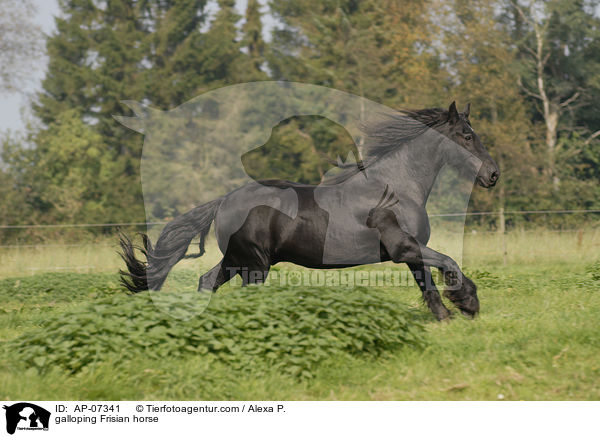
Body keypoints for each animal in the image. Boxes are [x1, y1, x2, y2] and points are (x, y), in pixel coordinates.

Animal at [119, 102, 500, 320]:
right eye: (466, 135)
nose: (493, 174)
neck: (397, 187)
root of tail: (224, 201)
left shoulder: (410, 252)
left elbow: (429, 287)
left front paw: (447, 317)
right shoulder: (403, 248)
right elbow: (450, 263)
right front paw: (468, 303)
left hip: (239, 260)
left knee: (206, 281)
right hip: (255, 263)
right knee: (240, 292)